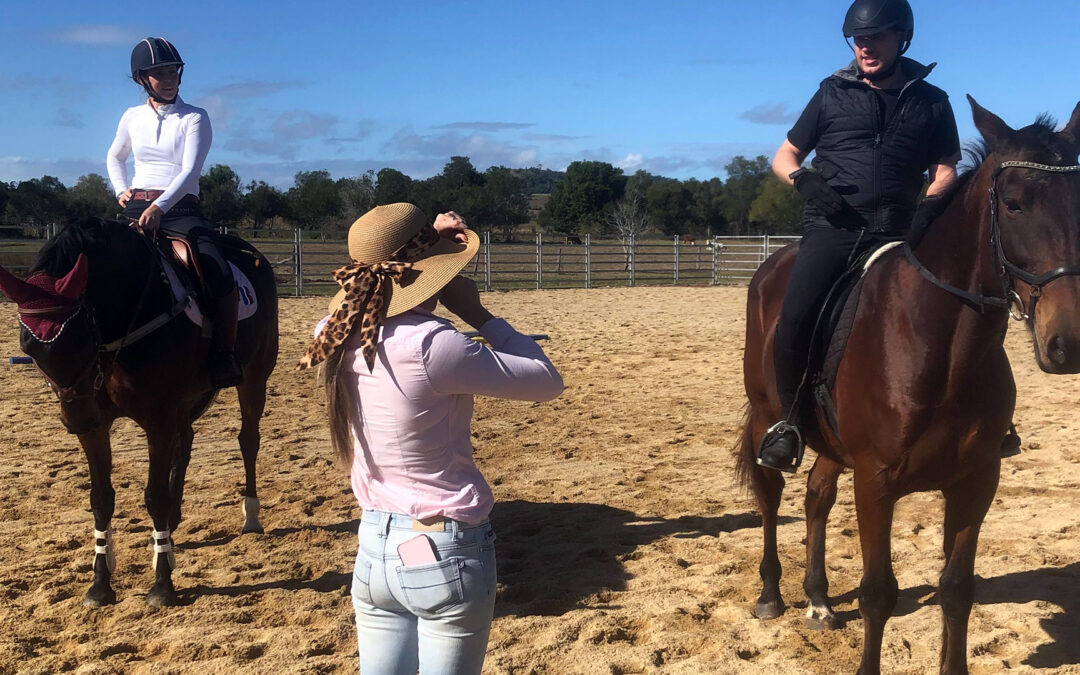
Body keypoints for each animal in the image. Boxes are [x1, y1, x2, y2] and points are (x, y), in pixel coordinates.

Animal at [0, 218, 278, 609]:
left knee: (248, 440)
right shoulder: (98, 425)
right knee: (185, 445)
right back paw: (173, 529)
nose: (75, 419)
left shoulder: (158, 419)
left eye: (82, 337)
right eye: (28, 347)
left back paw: (250, 515)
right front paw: (100, 584)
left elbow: (154, 496)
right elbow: (101, 498)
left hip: (253, 377)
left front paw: (162, 586)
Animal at [738, 96, 1080, 673]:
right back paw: (770, 595)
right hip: (768, 416)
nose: (1068, 342)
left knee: (816, 496)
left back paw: (818, 599)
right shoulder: (876, 482)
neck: (941, 348)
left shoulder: (975, 482)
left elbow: (957, 590)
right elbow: (878, 592)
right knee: (770, 498)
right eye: (1013, 204)